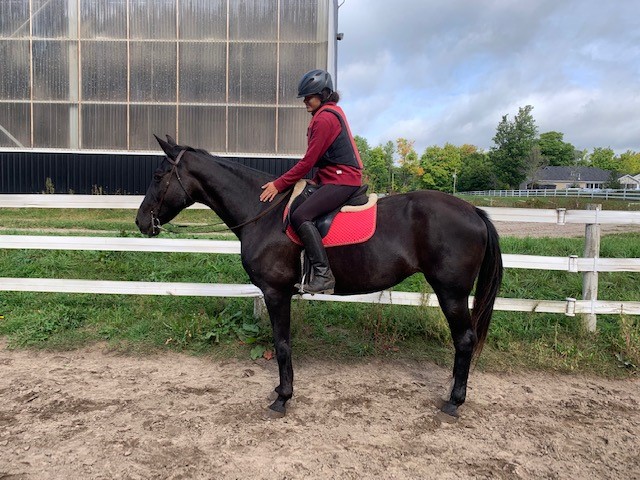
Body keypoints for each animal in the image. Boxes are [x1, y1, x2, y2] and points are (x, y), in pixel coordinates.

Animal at [136, 135, 503, 418]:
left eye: (158, 175)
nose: (141, 221)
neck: (263, 214)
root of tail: (473, 211)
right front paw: (281, 391)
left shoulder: (276, 292)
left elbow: (282, 344)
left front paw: (283, 398)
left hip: (451, 292)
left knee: (464, 340)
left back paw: (454, 402)